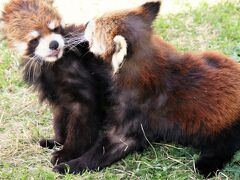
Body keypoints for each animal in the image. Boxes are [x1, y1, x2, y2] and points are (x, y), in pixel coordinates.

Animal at [0, 0, 109, 166]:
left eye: (54, 29)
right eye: (35, 40)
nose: (54, 44)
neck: (53, 65)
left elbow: (83, 115)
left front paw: (67, 153)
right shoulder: (55, 92)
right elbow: (60, 115)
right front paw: (57, 141)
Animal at [53, 0, 240, 177]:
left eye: (93, 31)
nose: (86, 23)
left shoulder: (137, 114)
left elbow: (109, 147)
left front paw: (67, 166)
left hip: (225, 126)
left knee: (223, 146)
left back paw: (206, 165)